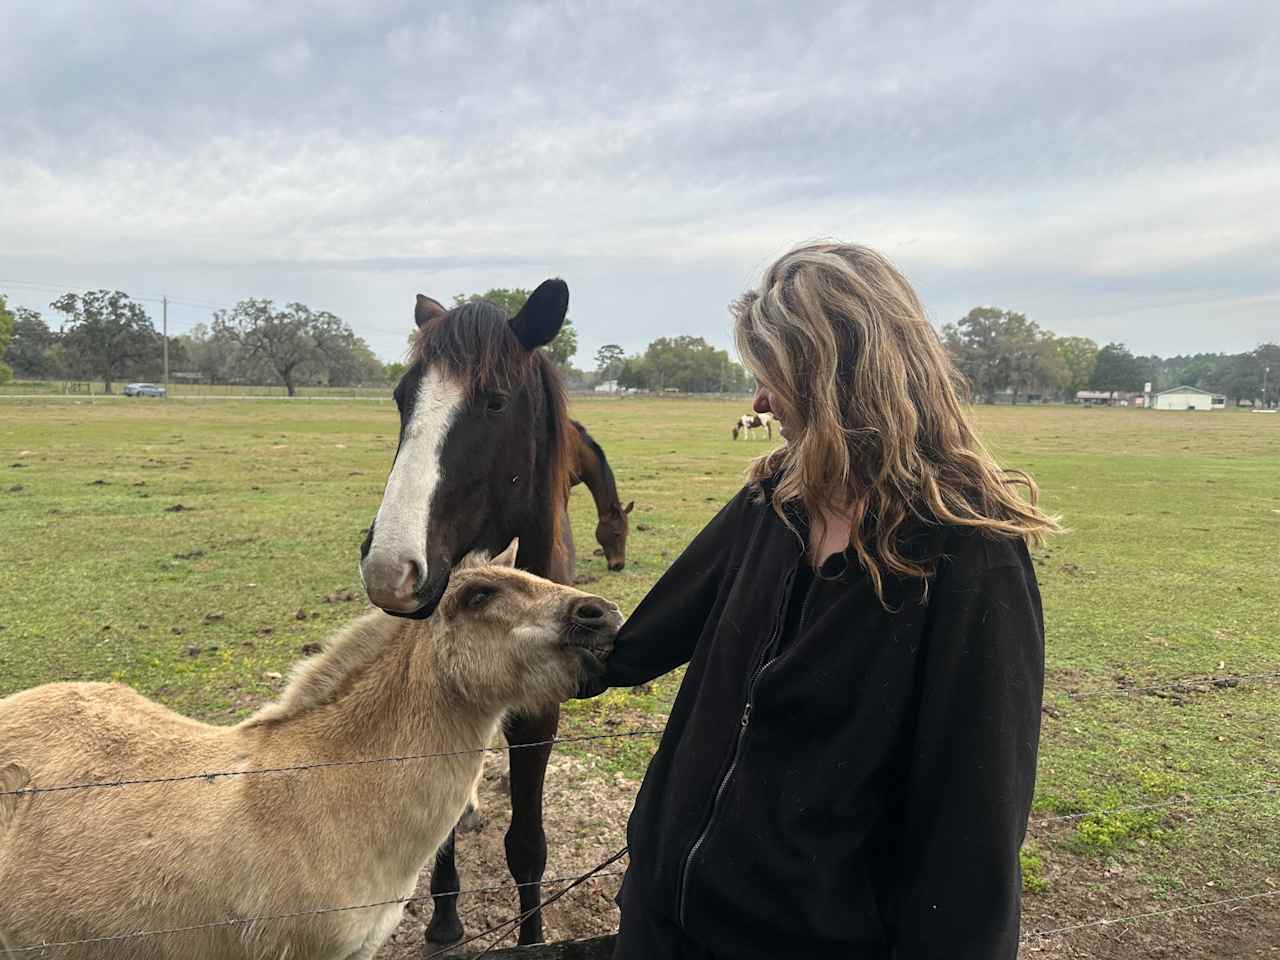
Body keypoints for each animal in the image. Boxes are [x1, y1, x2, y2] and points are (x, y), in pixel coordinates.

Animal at [360, 280, 581, 957]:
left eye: (495, 402)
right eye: (402, 398)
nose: (391, 568)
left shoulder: (541, 714)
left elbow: (528, 847)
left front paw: (531, 937)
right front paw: (444, 919)